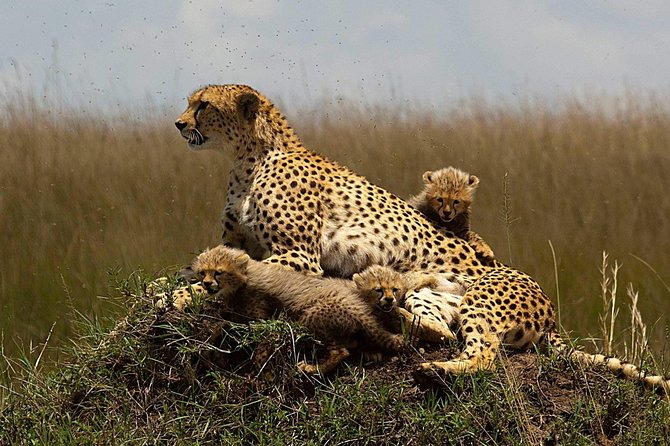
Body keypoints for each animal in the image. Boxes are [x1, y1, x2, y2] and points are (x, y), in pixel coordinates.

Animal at [174, 84, 670, 392]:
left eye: (202, 105)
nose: (179, 124)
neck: (247, 157)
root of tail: (551, 315)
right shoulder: (242, 244)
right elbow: (203, 265)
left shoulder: (298, 254)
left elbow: (213, 277)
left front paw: (178, 296)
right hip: (433, 296)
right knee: (440, 330)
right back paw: (385, 313)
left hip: (481, 298)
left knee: (482, 351)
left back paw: (433, 366)